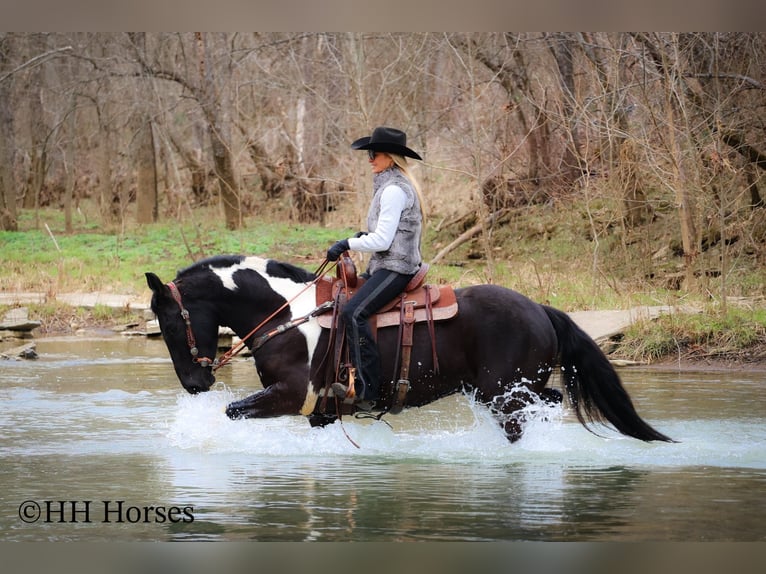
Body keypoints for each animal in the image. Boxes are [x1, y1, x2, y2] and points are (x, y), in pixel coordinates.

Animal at [147, 256, 676, 446]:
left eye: (170, 321)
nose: (195, 384)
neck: (288, 314)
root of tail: (540, 309)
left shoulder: (291, 394)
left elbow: (233, 411)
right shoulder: (319, 409)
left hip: (504, 392)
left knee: (528, 416)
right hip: (503, 390)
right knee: (548, 403)